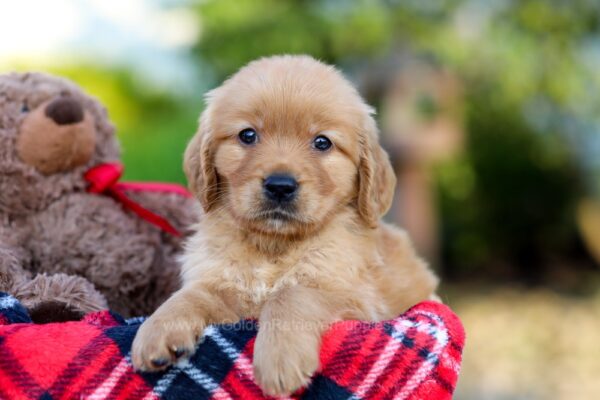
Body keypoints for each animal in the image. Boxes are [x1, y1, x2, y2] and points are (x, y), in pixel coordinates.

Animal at [132, 54, 436, 396]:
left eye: (322, 142)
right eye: (247, 135)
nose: (280, 186)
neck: (273, 246)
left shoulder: (353, 295)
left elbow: (290, 295)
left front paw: (279, 359)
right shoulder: (227, 286)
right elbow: (194, 293)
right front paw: (157, 329)